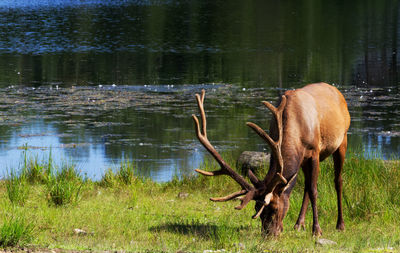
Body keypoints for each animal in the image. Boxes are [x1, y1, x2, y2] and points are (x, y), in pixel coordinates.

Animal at [192, 82, 352, 235]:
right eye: (256, 208)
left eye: (274, 208)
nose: (268, 233)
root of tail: (336, 91)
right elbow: (306, 186)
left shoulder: (314, 152)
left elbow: (314, 190)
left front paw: (317, 230)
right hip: (304, 161)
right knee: (306, 184)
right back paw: (299, 224)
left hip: (342, 140)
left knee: (337, 181)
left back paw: (340, 224)